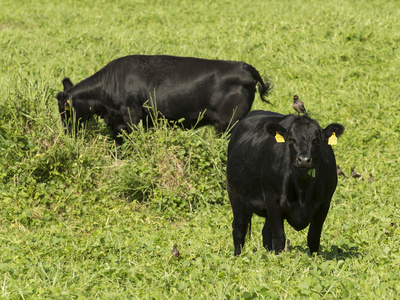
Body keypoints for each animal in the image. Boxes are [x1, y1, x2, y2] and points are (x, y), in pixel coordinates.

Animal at [55, 56, 272, 146]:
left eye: (65, 111)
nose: (67, 135)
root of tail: (245, 66)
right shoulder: (121, 122)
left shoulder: (131, 116)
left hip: (229, 124)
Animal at [227, 110, 346, 255]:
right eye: (291, 139)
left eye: (316, 140)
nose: (303, 160)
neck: (302, 191)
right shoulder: (272, 200)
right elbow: (279, 239)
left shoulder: (324, 203)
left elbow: (313, 237)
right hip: (234, 194)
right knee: (239, 228)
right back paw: (238, 255)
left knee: (265, 233)